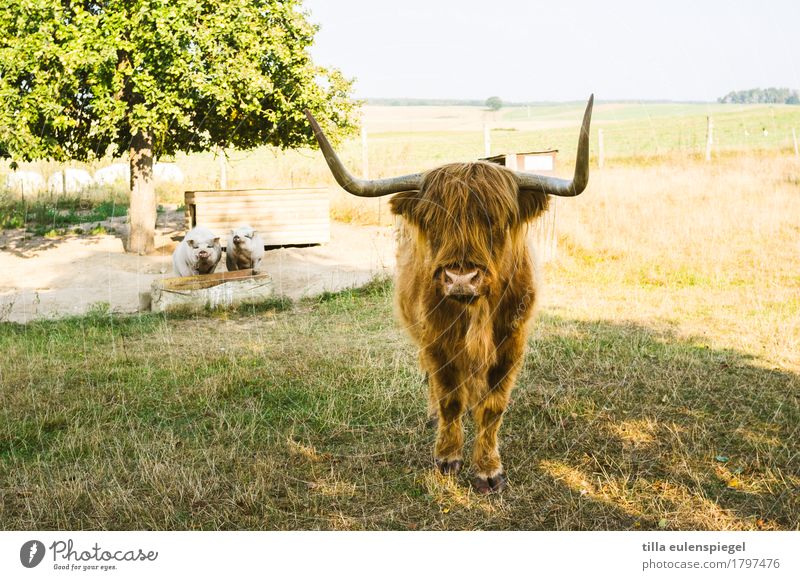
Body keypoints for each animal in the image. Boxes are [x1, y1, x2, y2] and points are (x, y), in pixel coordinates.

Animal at [306, 96, 592, 494]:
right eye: (434, 221)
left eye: (496, 220)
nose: (461, 278)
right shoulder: (436, 342)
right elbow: (450, 398)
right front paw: (447, 457)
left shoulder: (511, 344)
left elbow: (493, 406)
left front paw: (488, 469)